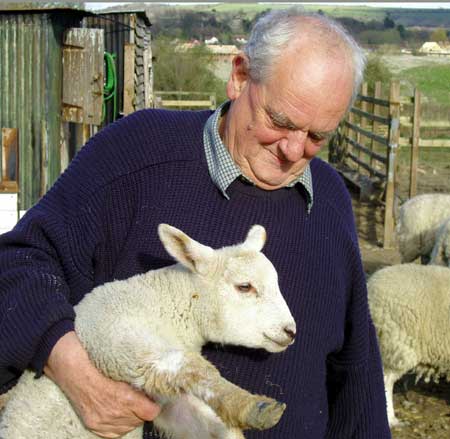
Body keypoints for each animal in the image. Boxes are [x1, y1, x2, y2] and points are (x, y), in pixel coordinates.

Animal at [0, 225, 296, 439]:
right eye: (244, 287)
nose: (290, 331)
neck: (165, 306)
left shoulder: (164, 401)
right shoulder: (115, 342)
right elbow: (193, 366)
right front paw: (252, 406)